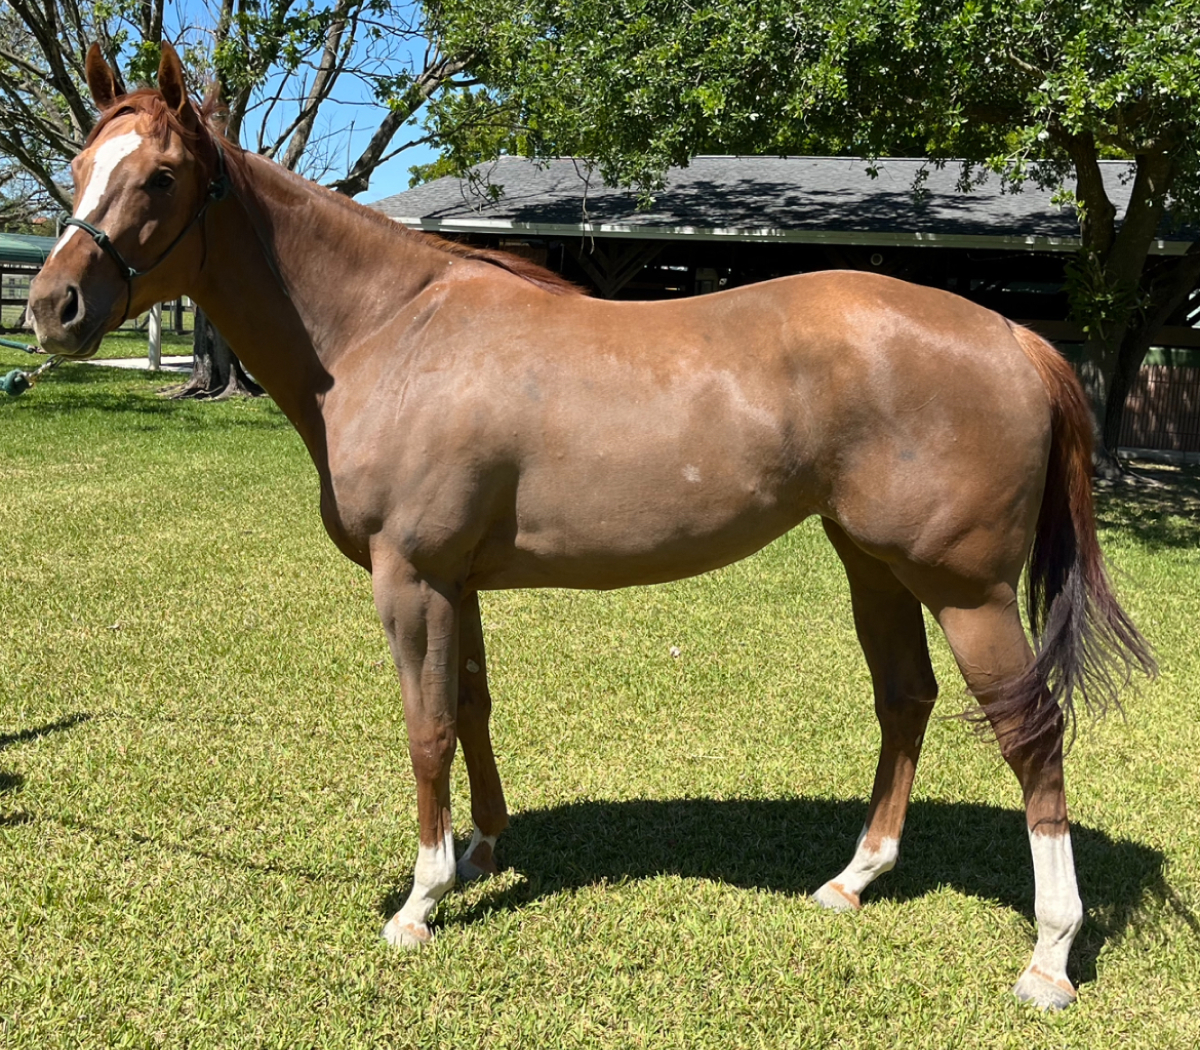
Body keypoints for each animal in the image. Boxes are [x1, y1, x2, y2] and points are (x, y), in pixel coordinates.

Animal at [29, 44, 1154, 1011]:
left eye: (161, 179)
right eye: (81, 165)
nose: (53, 307)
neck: (388, 332)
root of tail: (1011, 335)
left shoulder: (411, 578)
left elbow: (427, 728)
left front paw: (421, 901)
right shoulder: (457, 581)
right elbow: (473, 708)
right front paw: (483, 853)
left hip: (967, 591)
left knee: (1031, 733)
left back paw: (1050, 956)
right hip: (873, 564)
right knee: (905, 701)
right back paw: (854, 879)